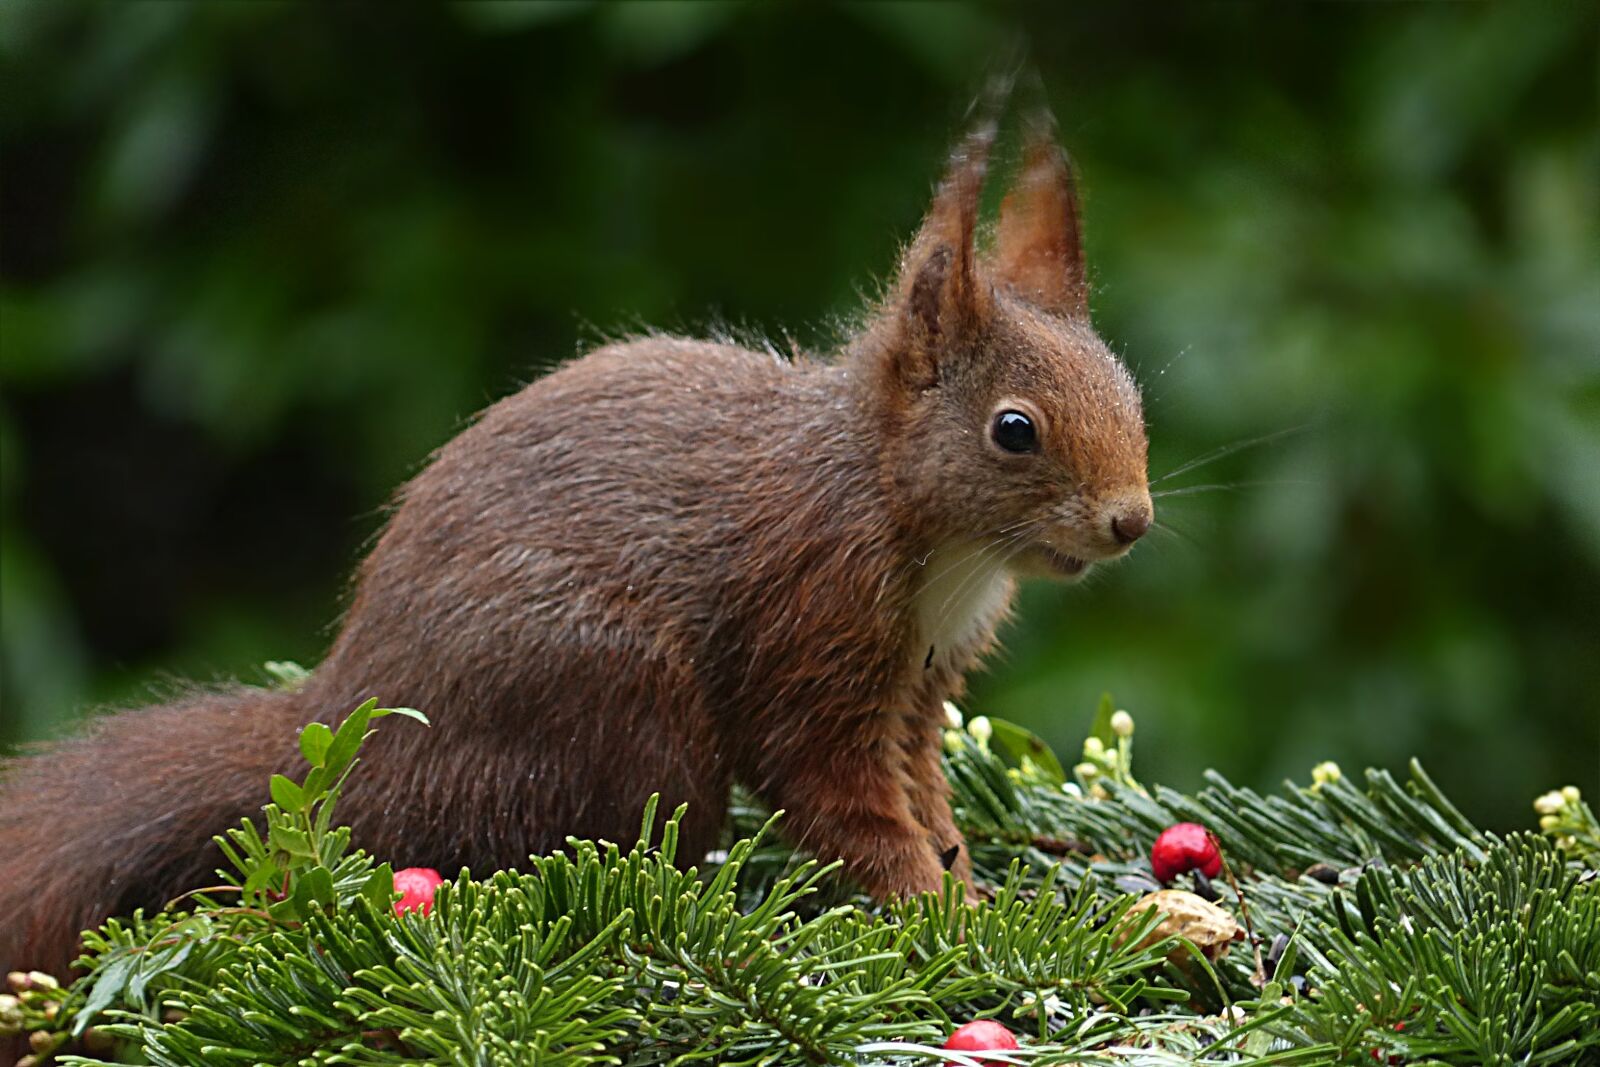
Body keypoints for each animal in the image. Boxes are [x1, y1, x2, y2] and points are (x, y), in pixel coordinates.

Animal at [0, 103, 1151, 977]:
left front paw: (981, 893)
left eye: (1129, 389)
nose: (1130, 520)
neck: (919, 523)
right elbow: (844, 800)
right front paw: (937, 912)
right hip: (616, 702)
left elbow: (927, 794)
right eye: (1013, 429)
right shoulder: (810, 627)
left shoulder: (920, 684)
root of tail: (351, 719)